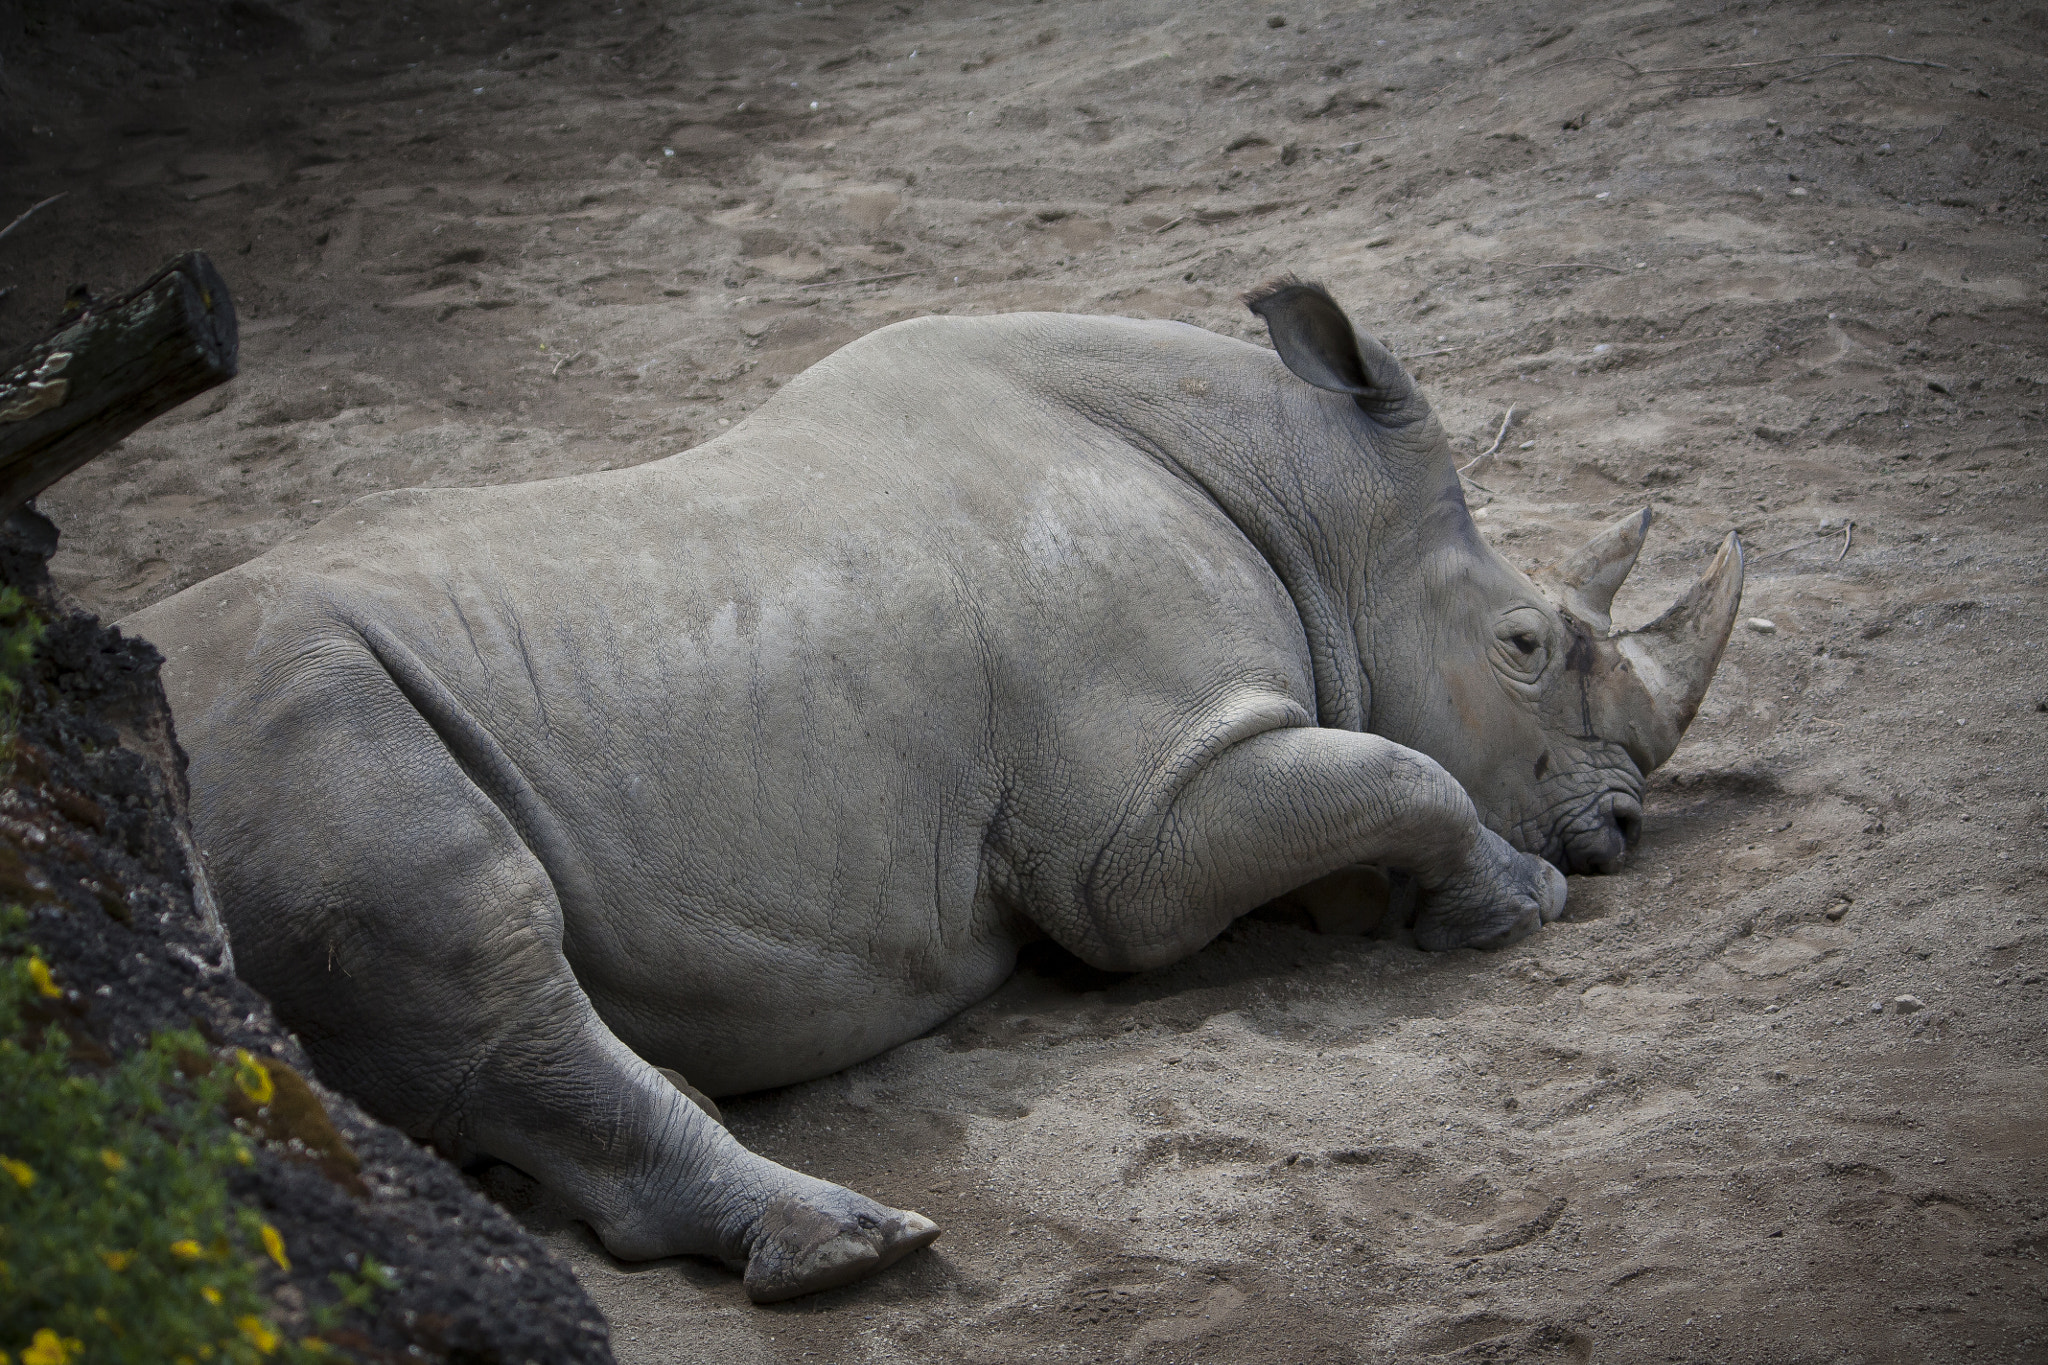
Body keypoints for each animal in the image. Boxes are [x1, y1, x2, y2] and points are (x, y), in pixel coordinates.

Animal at [126, 280, 1741, 1303]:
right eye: (1523, 647)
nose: (1618, 832)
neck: (1308, 497)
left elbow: (1367, 783)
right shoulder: (1136, 828)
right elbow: (1399, 773)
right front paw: (1510, 907)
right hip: (294, 722)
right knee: (481, 954)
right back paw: (865, 1248)